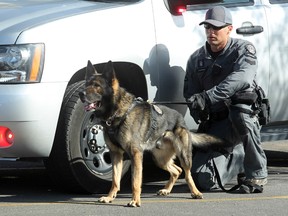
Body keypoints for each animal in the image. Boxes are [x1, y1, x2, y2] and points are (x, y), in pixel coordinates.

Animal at [79, 60, 223, 208]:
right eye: (86, 84)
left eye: (96, 86)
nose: (80, 93)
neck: (118, 112)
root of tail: (181, 119)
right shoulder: (116, 154)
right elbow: (115, 180)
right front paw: (109, 197)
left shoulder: (135, 154)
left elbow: (135, 181)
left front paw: (135, 200)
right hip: (160, 159)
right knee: (177, 170)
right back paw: (166, 190)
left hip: (184, 155)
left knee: (187, 173)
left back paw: (195, 192)